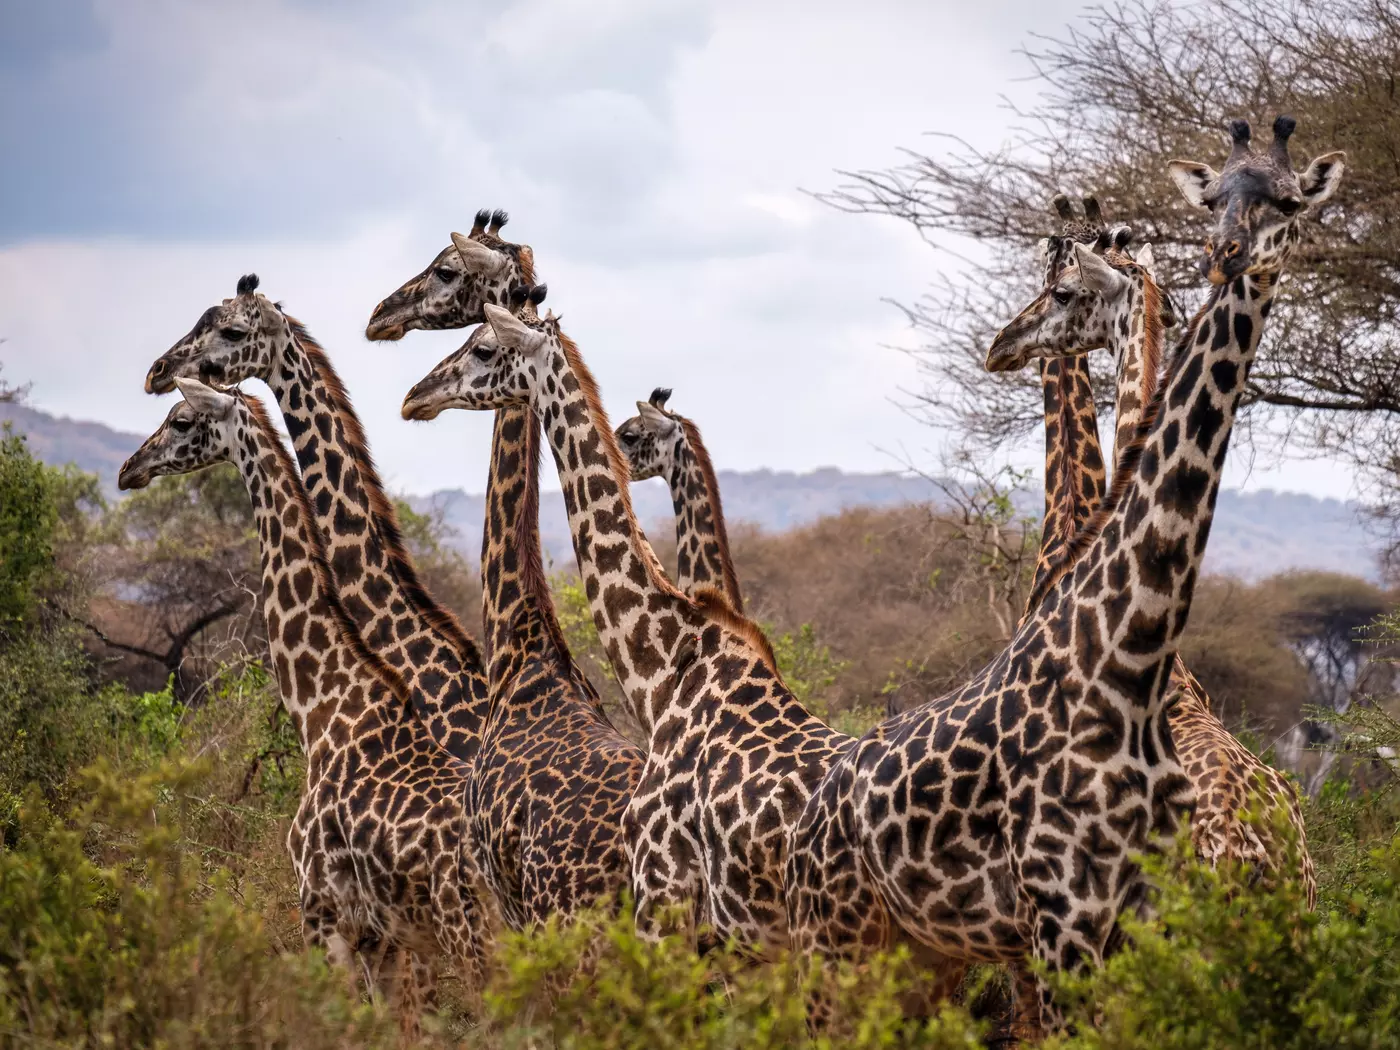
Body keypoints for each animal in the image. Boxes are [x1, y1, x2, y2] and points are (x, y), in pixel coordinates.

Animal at [117, 379, 490, 1030]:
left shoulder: (321, 913)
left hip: (474, 938)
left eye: (182, 419)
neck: (322, 707)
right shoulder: (382, 936)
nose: (128, 469)